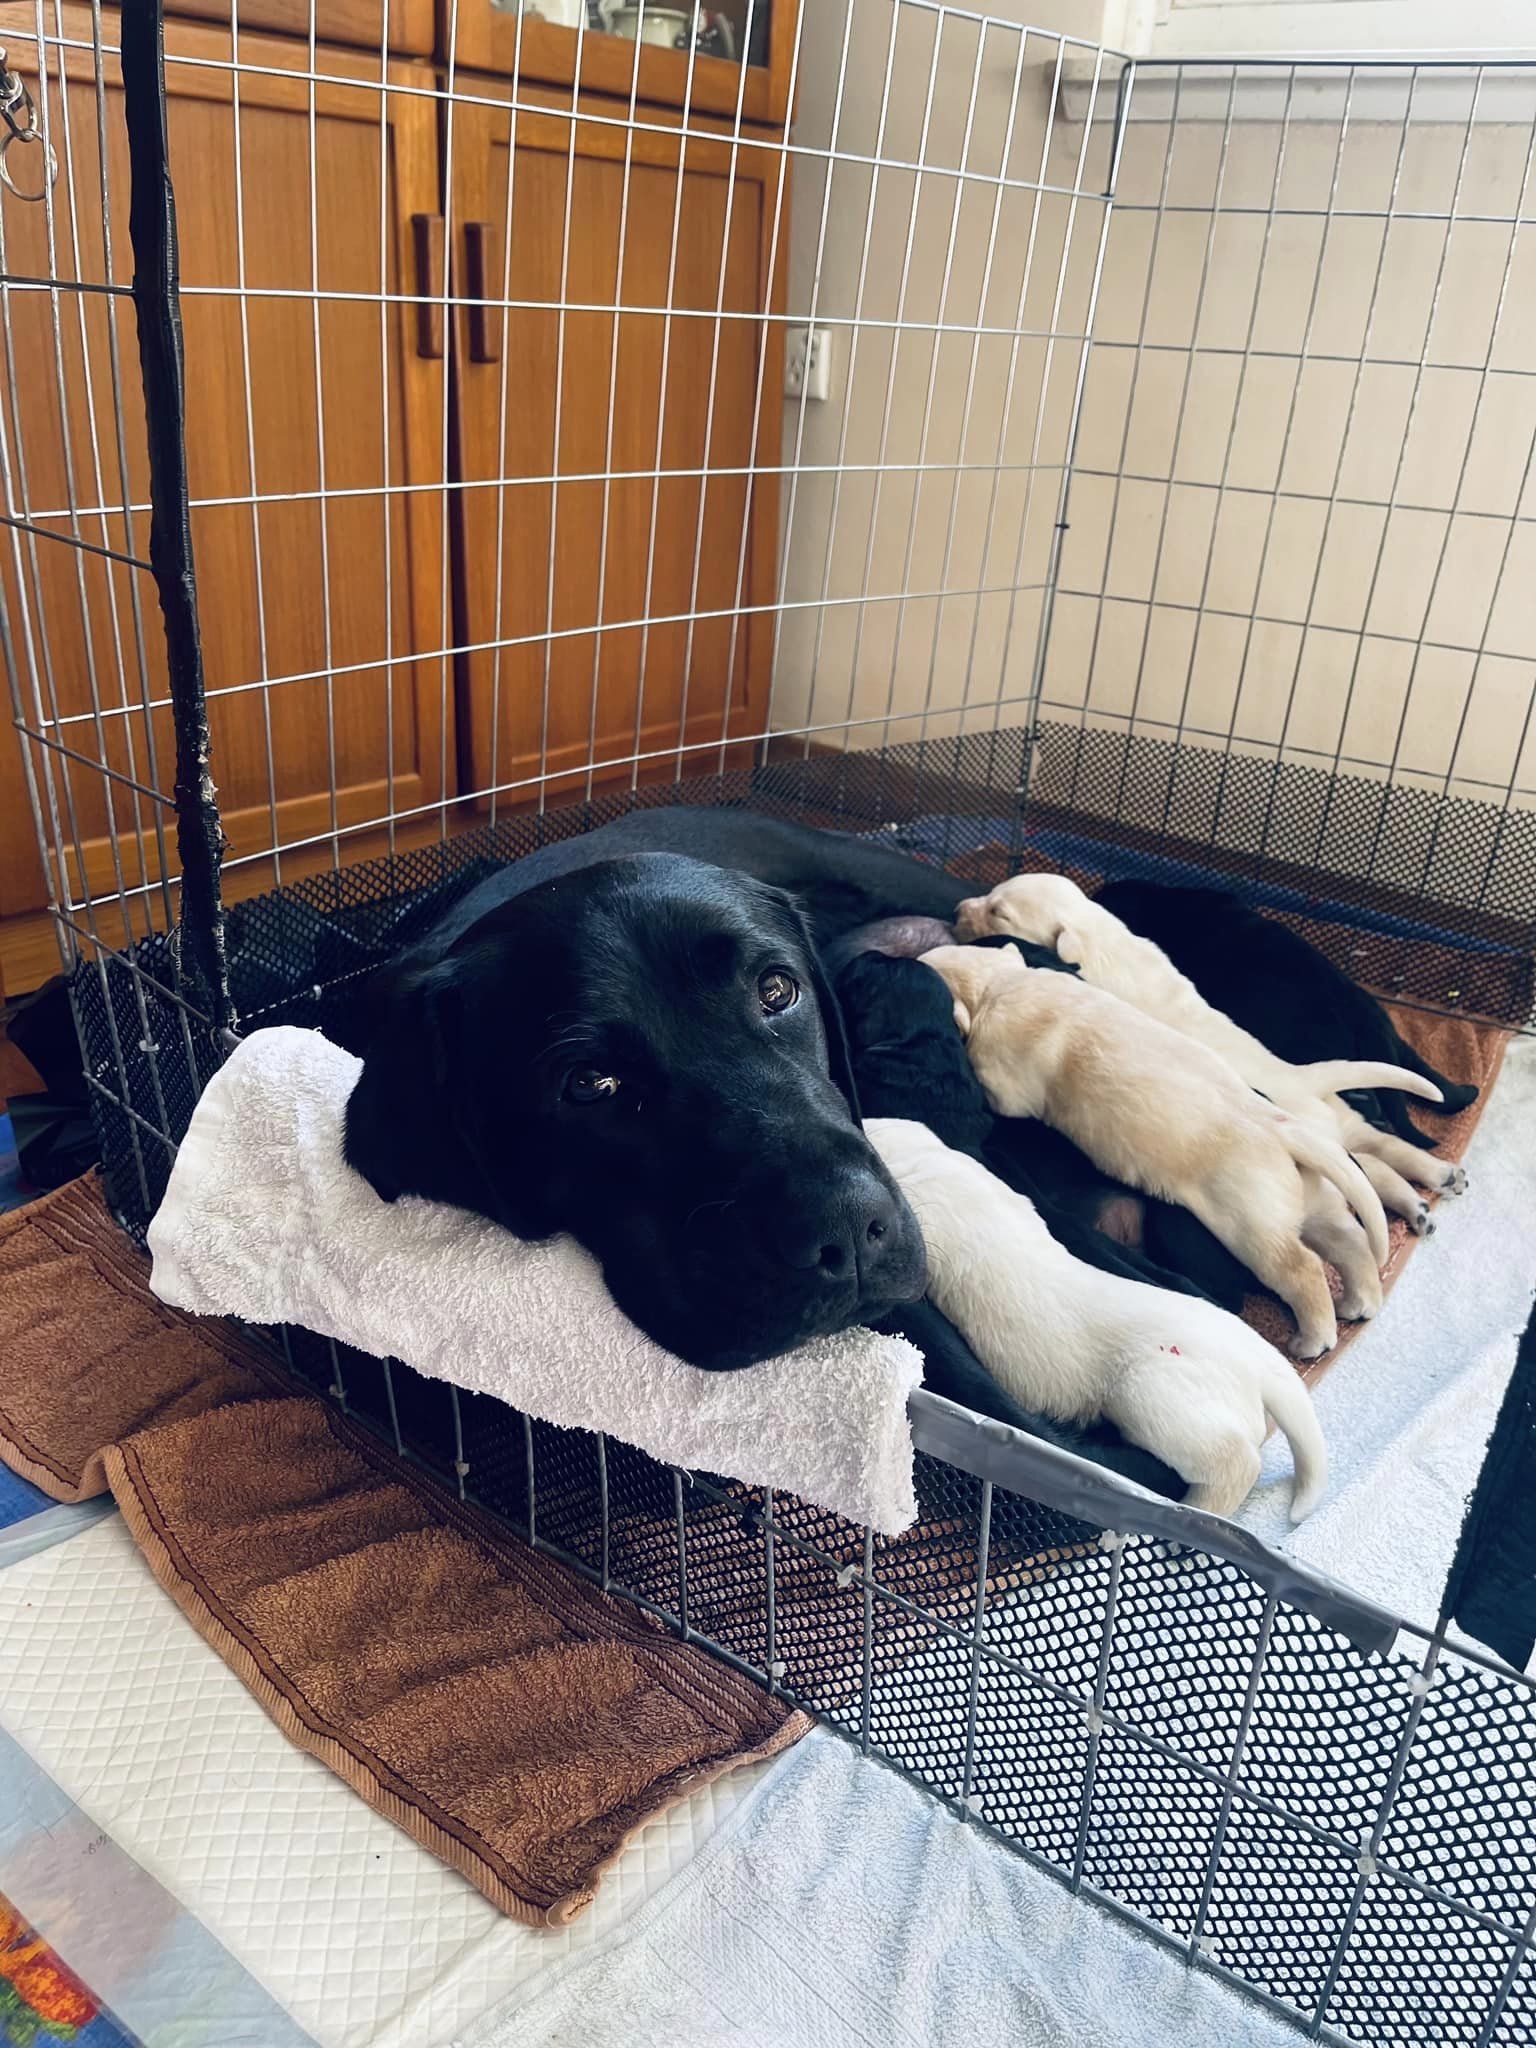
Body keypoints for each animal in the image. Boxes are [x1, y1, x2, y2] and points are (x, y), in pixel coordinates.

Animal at [925, 937, 1392, 1359]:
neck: (1000, 983)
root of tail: (1283, 1131)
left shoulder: (1006, 1080)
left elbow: (998, 1096)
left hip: (1251, 1221)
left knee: (1301, 1269)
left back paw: (1313, 1339)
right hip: (1305, 1200)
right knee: (1349, 1240)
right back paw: (1360, 1301)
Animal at [958, 868, 1474, 1228]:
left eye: (1000, 913)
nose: (961, 908)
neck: (1096, 935)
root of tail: (1301, 1079)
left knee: (1370, 1164)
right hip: (1340, 1123)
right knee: (1380, 1148)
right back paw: (1434, 1181)